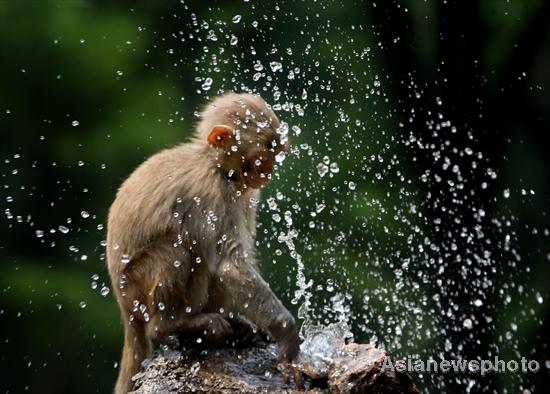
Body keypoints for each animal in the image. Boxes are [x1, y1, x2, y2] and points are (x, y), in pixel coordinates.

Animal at [105, 93, 304, 394]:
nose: (269, 172)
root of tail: (125, 310)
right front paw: (287, 335)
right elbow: (230, 265)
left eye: (275, 153)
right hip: (136, 290)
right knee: (177, 250)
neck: (217, 167)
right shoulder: (210, 193)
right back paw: (172, 326)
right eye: (264, 155)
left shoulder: (242, 194)